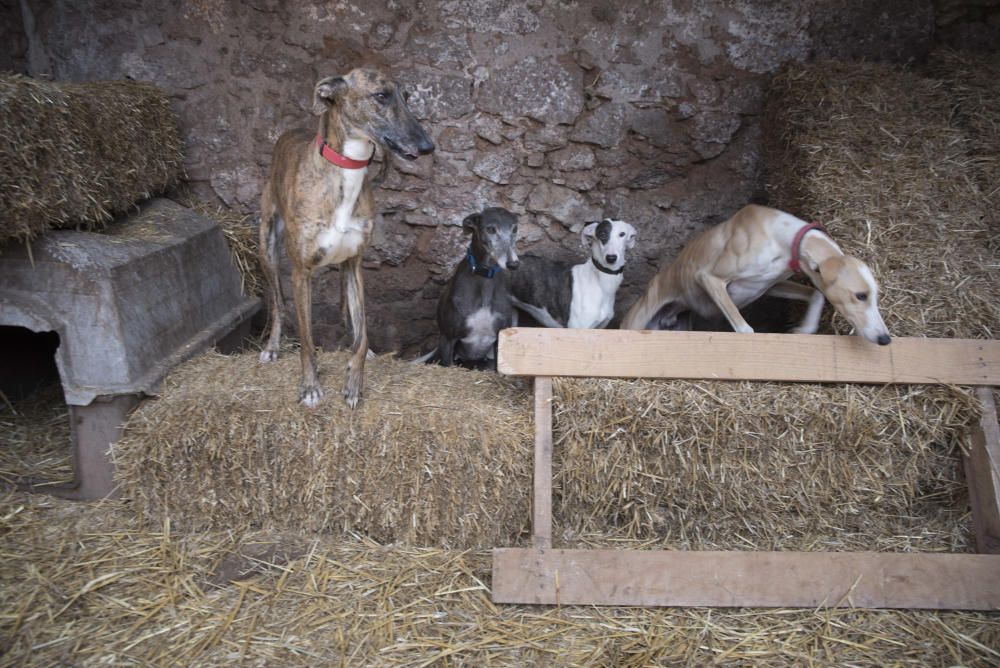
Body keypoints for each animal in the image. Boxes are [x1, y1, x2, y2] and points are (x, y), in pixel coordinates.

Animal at [258, 73, 434, 408]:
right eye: (381, 96)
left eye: (406, 97)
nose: (428, 146)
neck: (346, 171)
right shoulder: (301, 273)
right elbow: (307, 339)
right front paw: (310, 387)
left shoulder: (355, 264)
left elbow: (362, 334)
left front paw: (354, 381)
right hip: (268, 246)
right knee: (278, 303)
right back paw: (272, 347)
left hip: (342, 267)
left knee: (346, 313)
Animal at [424, 207, 524, 368]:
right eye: (490, 229)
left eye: (514, 229)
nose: (513, 264)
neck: (485, 278)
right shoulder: (448, 339)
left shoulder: (499, 339)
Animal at [620, 204, 896, 344]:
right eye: (860, 295)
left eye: (874, 295)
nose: (885, 339)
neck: (783, 236)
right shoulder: (710, 278)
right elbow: (744, 329)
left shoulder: (771, 284)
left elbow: (817, 294)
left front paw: (804, 329)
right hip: (636, 320)